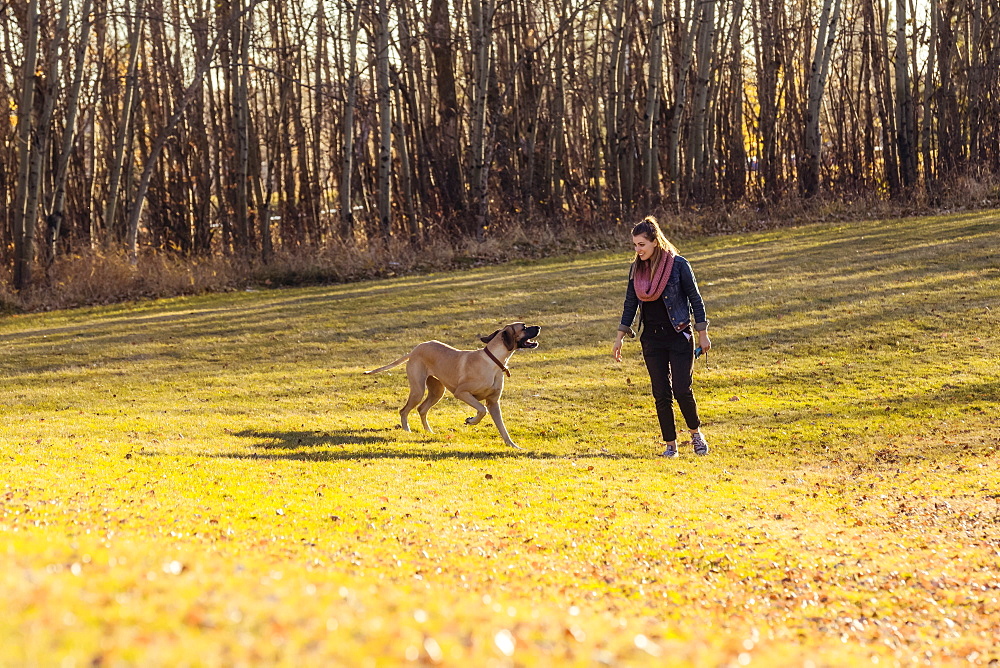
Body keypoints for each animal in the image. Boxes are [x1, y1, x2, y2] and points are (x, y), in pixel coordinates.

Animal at [366, 324, 544, 448]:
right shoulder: (462, 393)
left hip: (437, 391)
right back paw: (407, 431)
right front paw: (471, 421)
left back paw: (429, 432)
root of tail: (415, 349)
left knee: (422, 409)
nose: (538, 327)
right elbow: (481, 410)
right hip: (418, 389)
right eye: (524, 327)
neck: (493, 361)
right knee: (404, 410)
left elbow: (502, 428)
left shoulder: (494, 403)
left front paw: (513, 446)